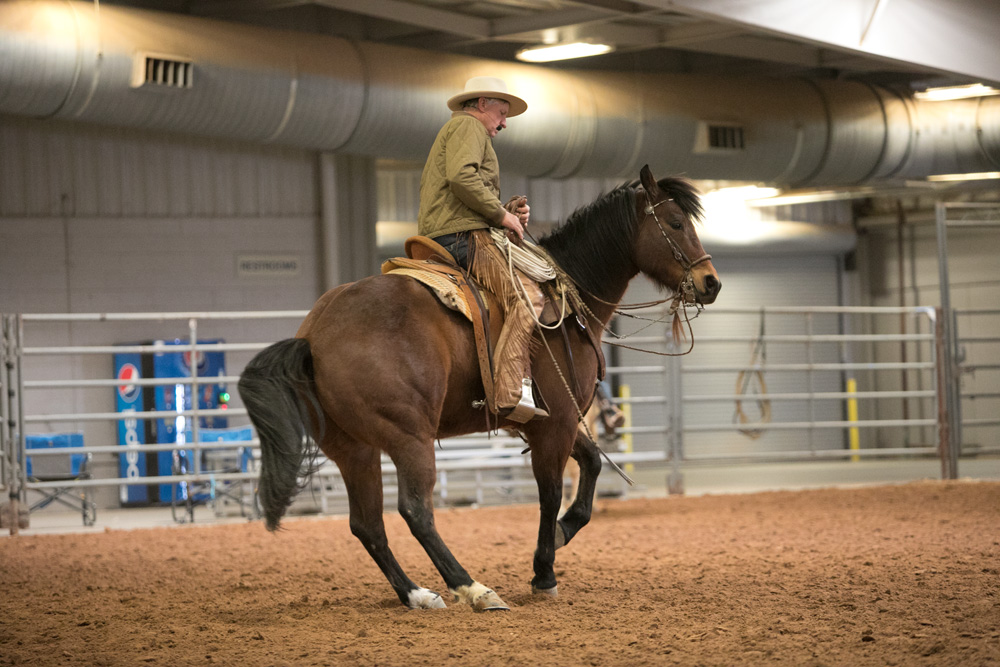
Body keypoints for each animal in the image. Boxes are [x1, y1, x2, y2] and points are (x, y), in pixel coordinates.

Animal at [236, 166, 720, 612]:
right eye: (676, 222)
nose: (710, 282)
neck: (563, 300)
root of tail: (314, 336)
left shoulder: (550, 422)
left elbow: (592, 467)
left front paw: (564, 531)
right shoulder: (558, 423)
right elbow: (550, 493)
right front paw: (543, 572)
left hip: (354, 448)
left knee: (367, 524)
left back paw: (417, 594)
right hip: (408, 437)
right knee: (415, 511)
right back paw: (473, 587)